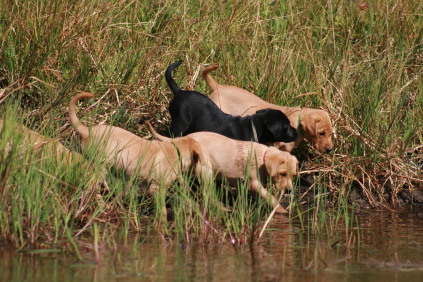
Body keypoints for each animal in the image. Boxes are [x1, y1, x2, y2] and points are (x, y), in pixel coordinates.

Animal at [147, 122, 300, 215]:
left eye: (293, 176)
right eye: (282, 174)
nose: (289, 191)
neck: (262, 157)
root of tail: (184, 138)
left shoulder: (241, 183)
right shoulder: (254, 183)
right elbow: (269, 196)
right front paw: (280, 209)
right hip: (206, 169)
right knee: (207, 194)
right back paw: (221, 208)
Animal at [202, 65, 334, 154]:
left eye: (330, 133)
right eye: (321, 133)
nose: (330, 149)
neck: (297, 120)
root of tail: (218, 86)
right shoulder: (281, 147)